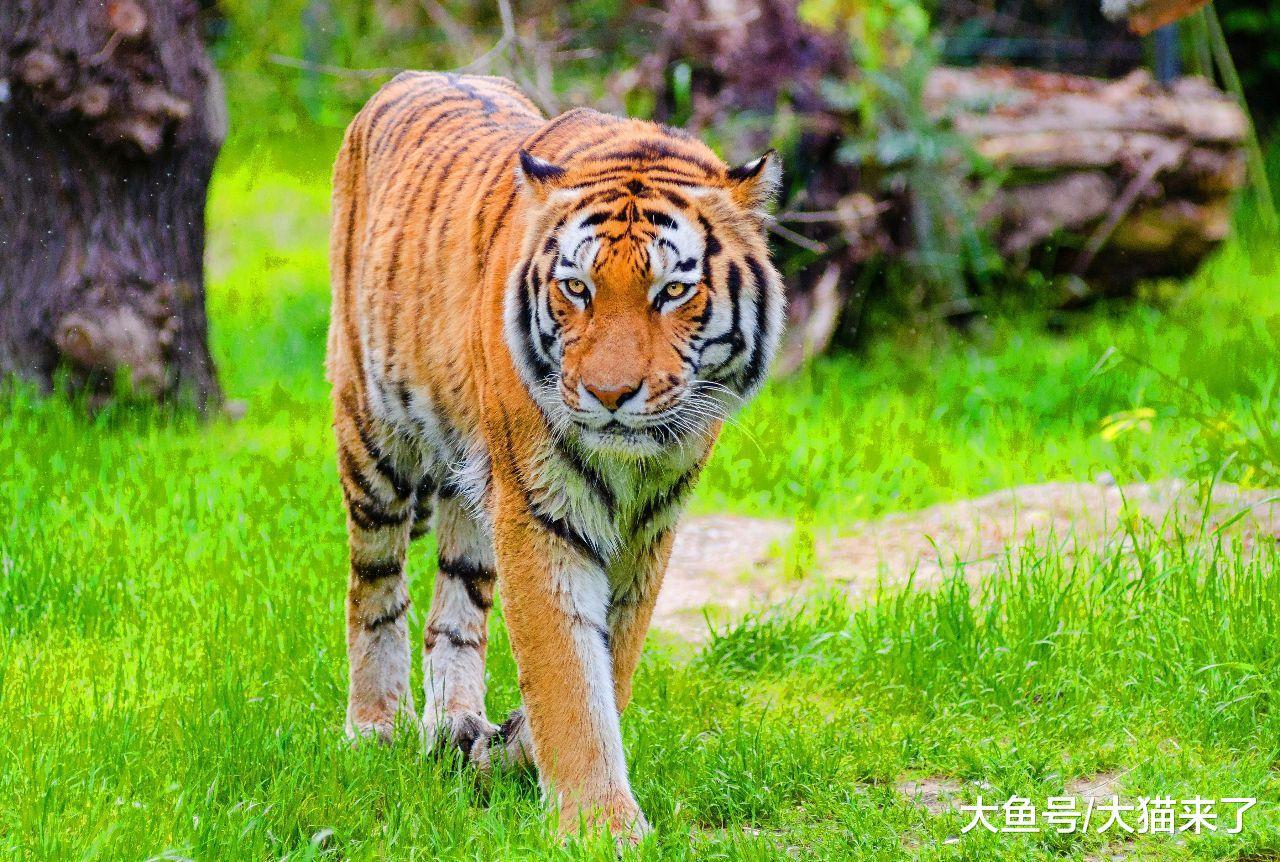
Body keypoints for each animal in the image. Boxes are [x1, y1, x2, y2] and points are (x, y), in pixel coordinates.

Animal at [326, 71, 783, 841]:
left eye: (673, 291)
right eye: (577, 288)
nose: (610, 394)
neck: (633, 465)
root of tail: (408, 77)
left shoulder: (649, 527)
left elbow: (609, 662)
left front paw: (510, 752)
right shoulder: (540, 513)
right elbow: (568, 672)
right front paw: (601, 826)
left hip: (472, 488)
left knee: (455, 608)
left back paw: (453, 726)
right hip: (374, 435)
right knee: (376, 586)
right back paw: (374, 730)